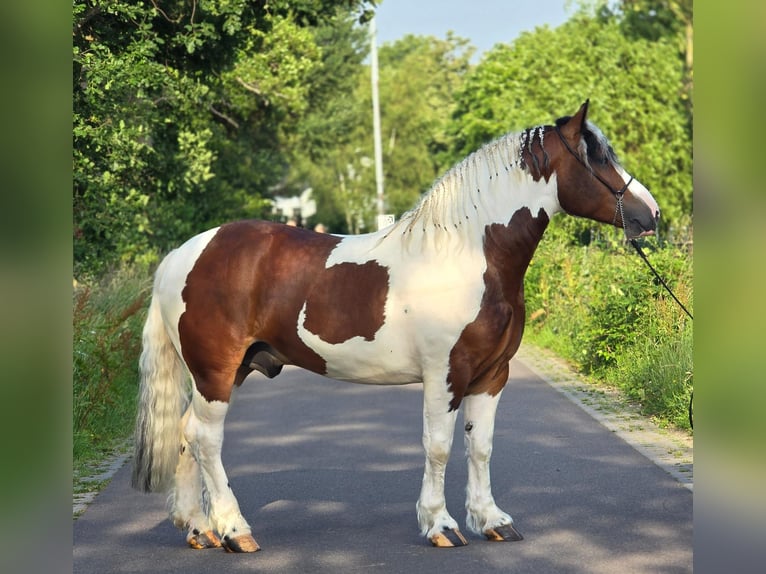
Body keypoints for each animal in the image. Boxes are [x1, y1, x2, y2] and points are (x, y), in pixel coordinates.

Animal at [132, 101, 660, 552]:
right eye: (597, 158)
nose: (650, 214)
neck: (465, 256)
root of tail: (183, 254)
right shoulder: (445, 375)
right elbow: (440, 447)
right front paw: (441, 526)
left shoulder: (492, 376)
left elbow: (481, 447)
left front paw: (492, 521)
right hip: (216, 372)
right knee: (206, 440)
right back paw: (234, 531)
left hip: (227, 371)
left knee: (185, 434)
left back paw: (198, 529)